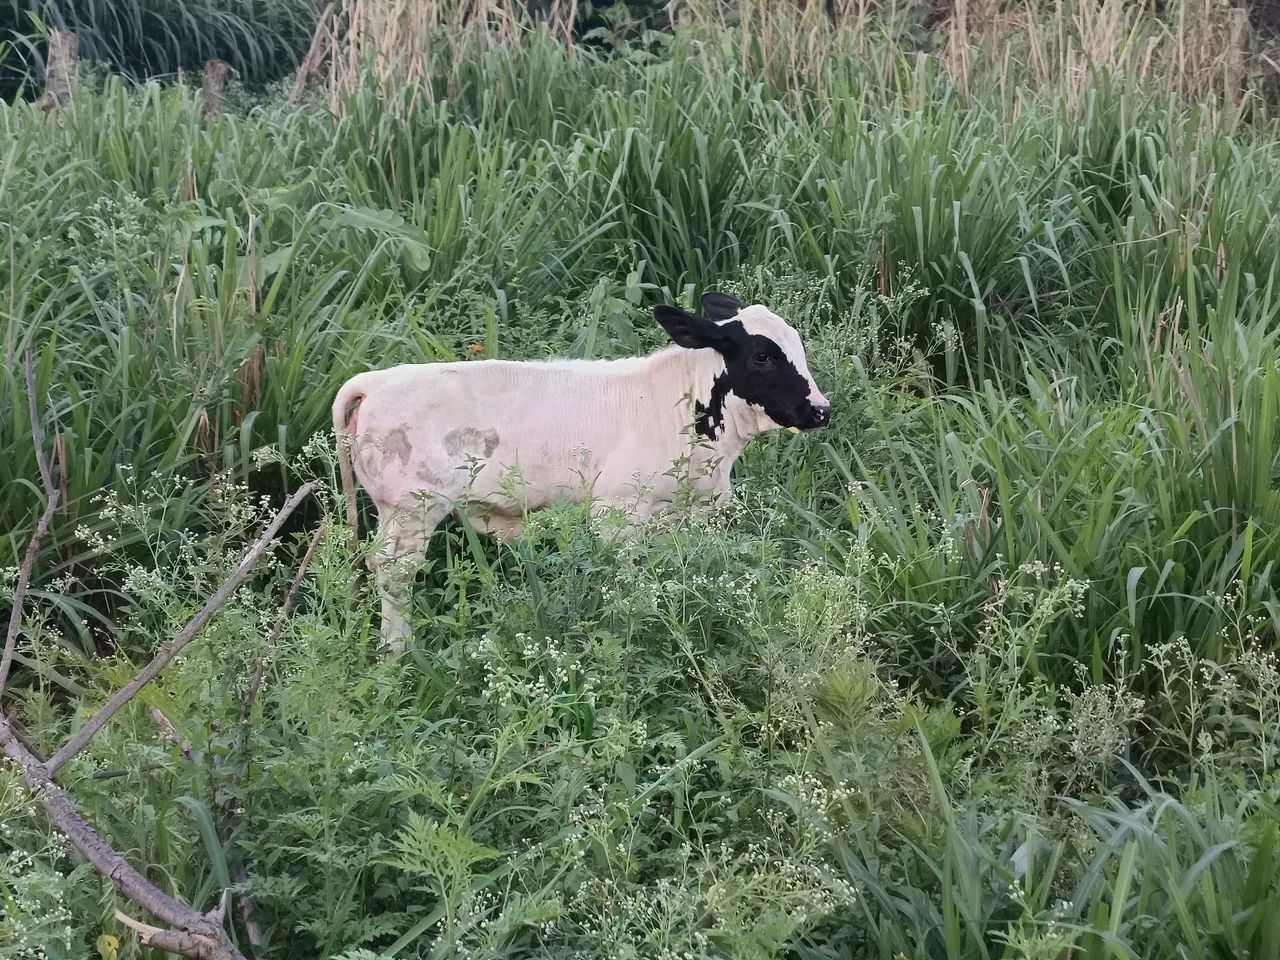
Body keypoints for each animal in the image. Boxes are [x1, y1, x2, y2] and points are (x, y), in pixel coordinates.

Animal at [332, 291, 831, 650]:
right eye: (763, 356)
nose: (822, 410)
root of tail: (376, 381)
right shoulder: (616, 511)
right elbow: (624, 578)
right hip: (410, 511)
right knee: (393, 574)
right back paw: (397, 652)